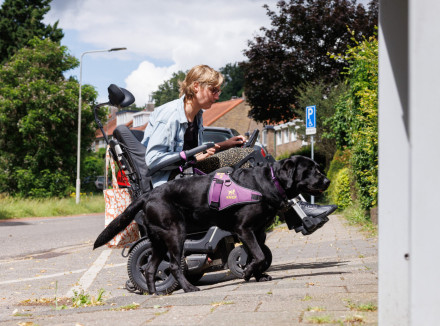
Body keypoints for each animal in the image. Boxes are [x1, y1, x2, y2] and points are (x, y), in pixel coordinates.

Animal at [94, 155, 332, 296]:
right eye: (311, 170)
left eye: (318, 168)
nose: (327, 181)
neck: (267, 183)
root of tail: (148, 195)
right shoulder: (244, 229)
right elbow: (258, 256)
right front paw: (247, 273)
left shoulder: (257, 232)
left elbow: (256, 256)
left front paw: (256, 275)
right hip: (175, 234)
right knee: (173, 266)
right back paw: (189, 288)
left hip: (158, 241)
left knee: (151, 267)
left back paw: (155, 293)